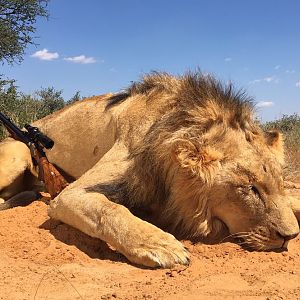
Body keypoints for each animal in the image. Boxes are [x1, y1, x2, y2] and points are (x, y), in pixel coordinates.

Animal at [0, 72, 300, 268]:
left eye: (280, 184)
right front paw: (161, 246)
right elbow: (110, 210)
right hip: (18, 150)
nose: (290, 237)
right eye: (250, 188)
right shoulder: (69, 194)